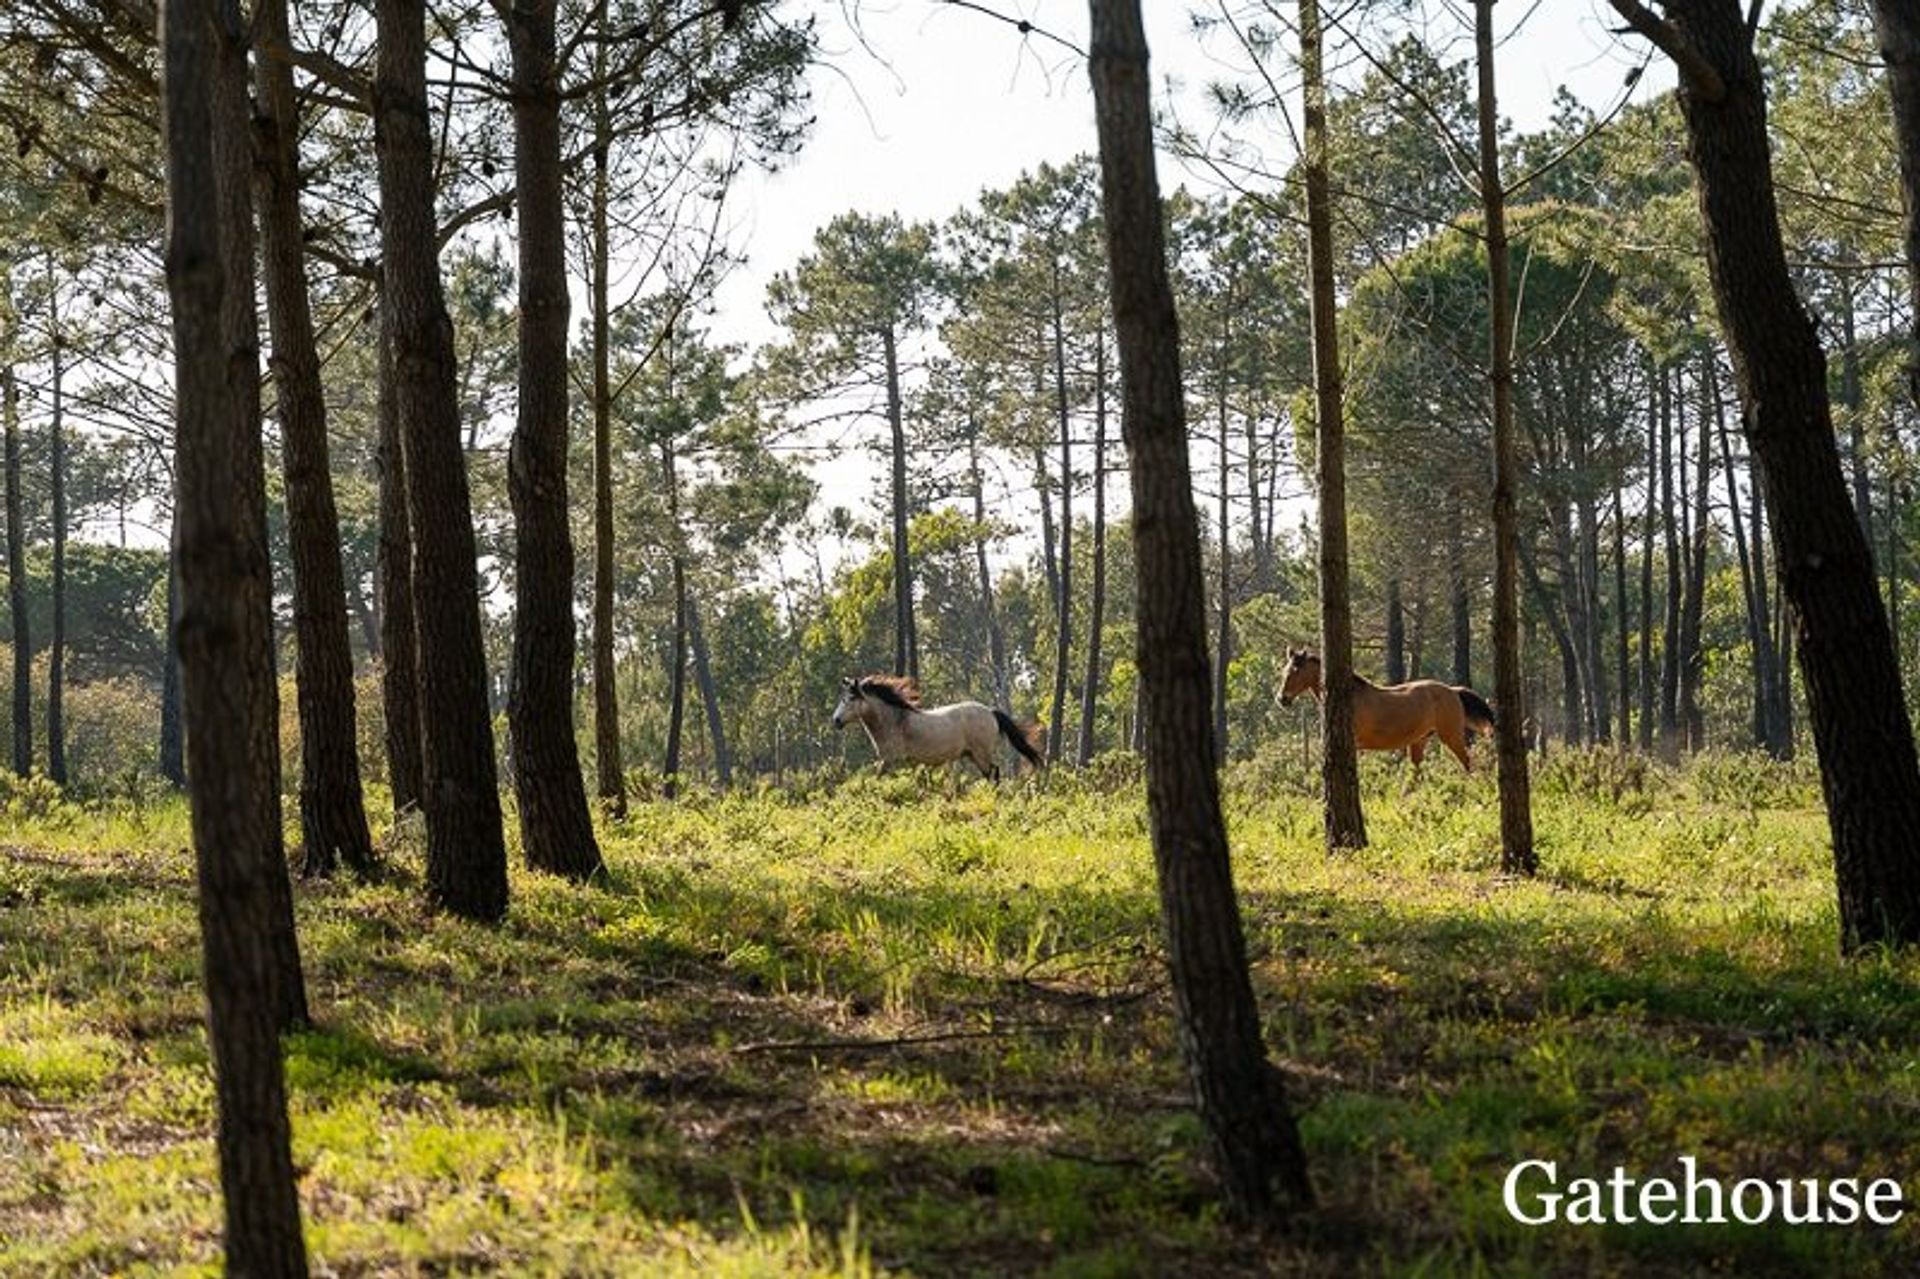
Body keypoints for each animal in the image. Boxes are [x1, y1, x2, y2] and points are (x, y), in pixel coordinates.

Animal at [1274, 649, 1497, 775]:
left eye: (1296, 671)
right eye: (1285, 670)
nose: (1282, 699)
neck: (1353, 697)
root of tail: (1453, 690)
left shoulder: (1354, 745)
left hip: (1451, 736)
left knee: (1467, 762)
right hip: (1419, 741)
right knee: (1416, 772)